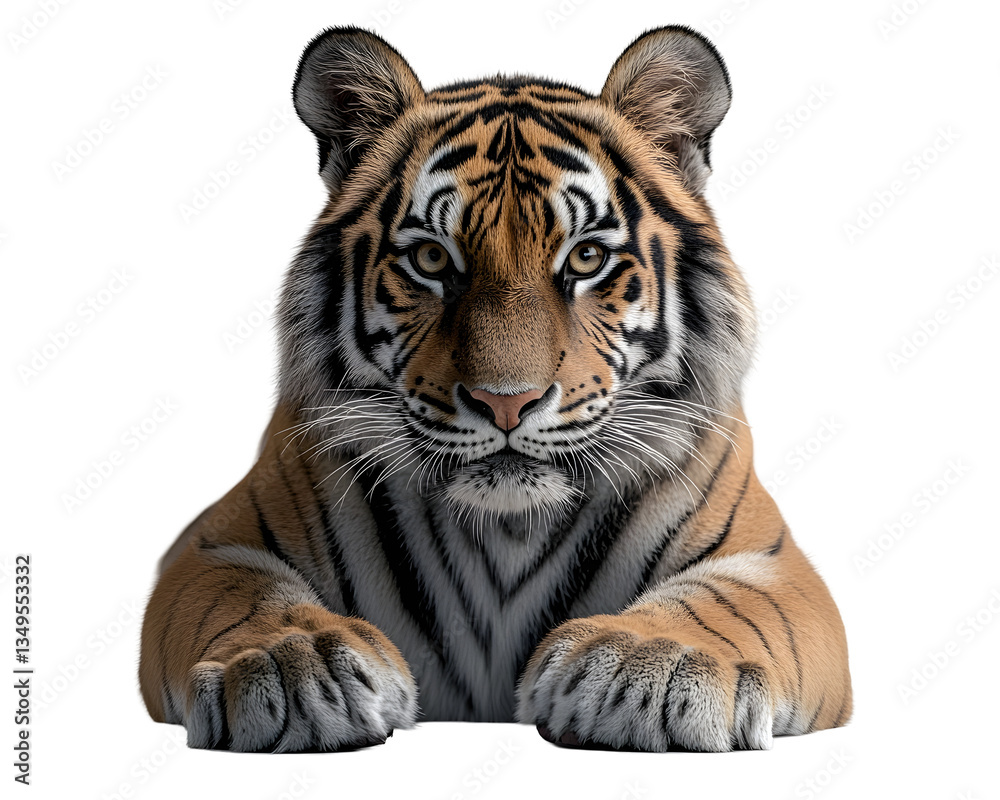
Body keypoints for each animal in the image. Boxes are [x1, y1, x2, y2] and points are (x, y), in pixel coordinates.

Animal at [138, 24, 852, 753]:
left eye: (587, 258)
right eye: (431, 258)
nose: (505, 401)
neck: (507, 531)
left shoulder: (773, 564)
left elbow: (722, 605)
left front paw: (653, 662)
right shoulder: (216, 546)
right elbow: (251, 600)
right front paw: (294, 663)